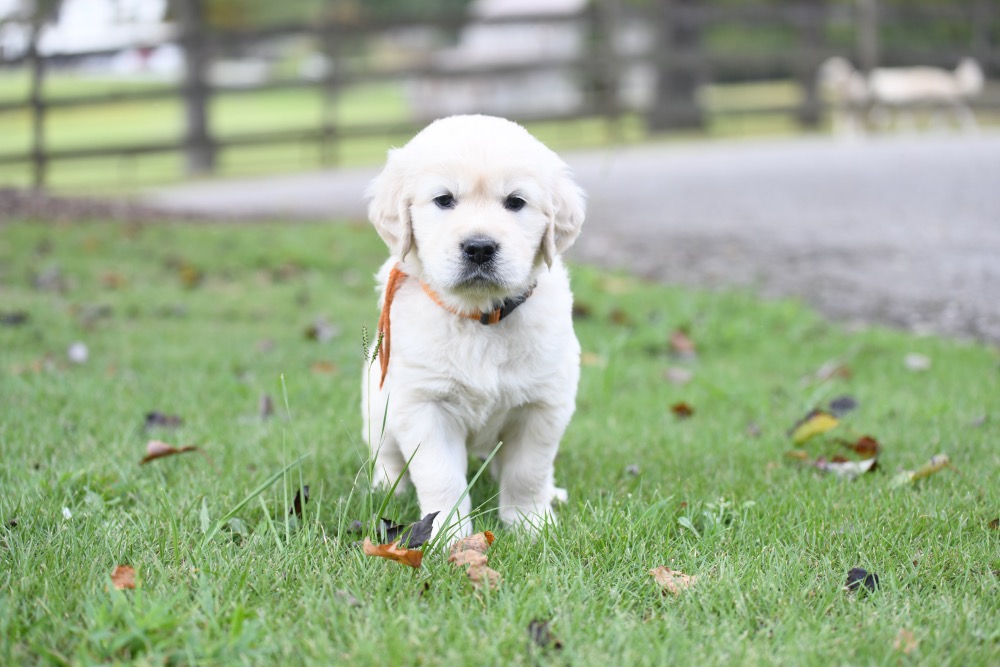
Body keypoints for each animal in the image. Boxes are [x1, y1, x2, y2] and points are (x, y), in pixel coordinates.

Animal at [362, 115, 584, 540]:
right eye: (444, 200)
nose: (479, 247)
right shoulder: (424, 406)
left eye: (515, 202)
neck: (479, 316)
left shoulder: (543, 404)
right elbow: (441, 476)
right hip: (377, 404)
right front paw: (447, 532)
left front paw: (529, 523)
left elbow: (528, 471)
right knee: (386, 453)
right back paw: (386, 486)